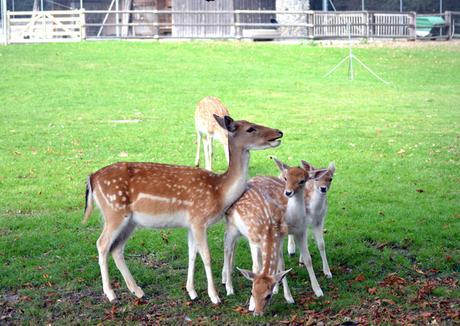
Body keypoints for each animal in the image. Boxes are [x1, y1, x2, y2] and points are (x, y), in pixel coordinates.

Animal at [83, 114, 284, 304]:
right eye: (251, 128)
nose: (279, 132)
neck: (219, 192)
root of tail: (92, 178)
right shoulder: (198, 219)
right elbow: (206, 256)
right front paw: (214, 296)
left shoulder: (190, 224)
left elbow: (192, 254)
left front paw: (192, 292)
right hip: (114, 212)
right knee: (102, 244)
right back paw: (111, 294)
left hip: (130, 221)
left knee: (116, 249)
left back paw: (138, 291)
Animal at [219, 158, 312, 316]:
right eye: (251, 292)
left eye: (267, 296)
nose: (258, 313)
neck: (269, 230)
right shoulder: (253, 239)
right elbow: (256, 268)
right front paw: (250, 305)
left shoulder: (280, 238)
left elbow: (281, 265)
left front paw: (289, 297)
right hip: (231, 226)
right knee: (227, 249)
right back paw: (229, 288)